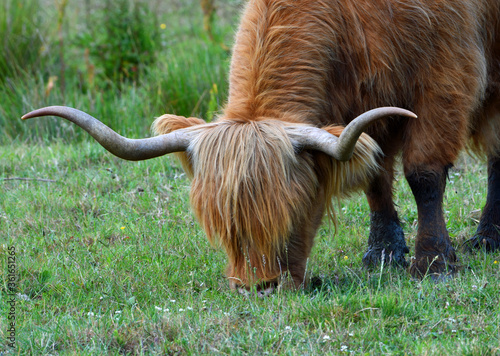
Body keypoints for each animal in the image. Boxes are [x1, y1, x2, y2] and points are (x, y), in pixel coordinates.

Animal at [25, 0, 500, 292]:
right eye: (217, 222)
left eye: (293, 209)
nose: (258, 287)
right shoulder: (362, 107)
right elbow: (374, 177)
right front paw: (382, 253)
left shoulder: (445, 77)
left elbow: (424, 174)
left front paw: (433, 263)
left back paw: (487, 237)